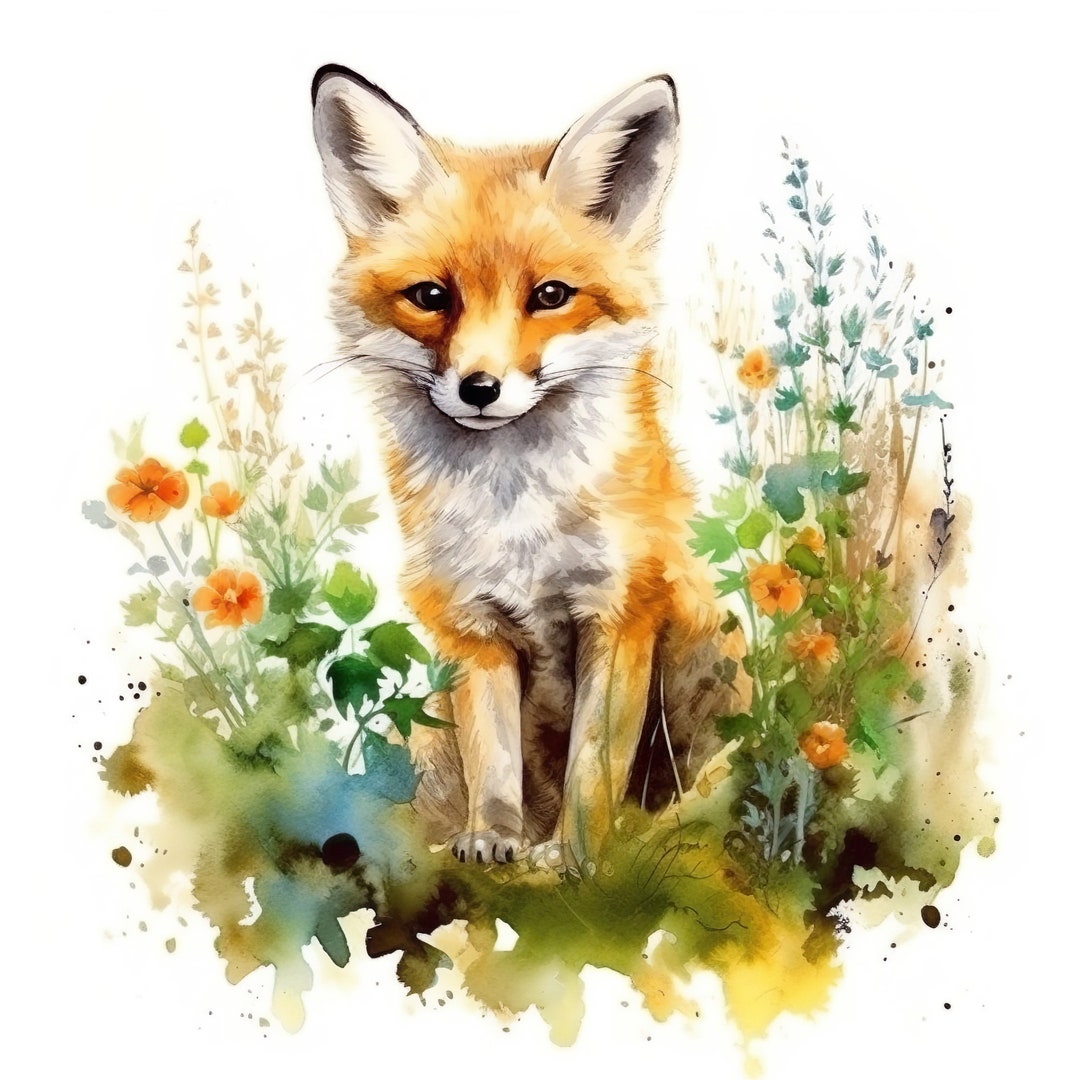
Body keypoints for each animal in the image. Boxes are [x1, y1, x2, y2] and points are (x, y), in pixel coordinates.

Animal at [311, 65, 751, 868]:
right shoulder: (471, 628)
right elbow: (493, 759)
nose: (479, 388)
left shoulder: (619, 614)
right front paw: (493, 836)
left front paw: (575, 856)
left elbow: (593, 768)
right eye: (430, 296)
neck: (515, 514)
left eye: (550, 296)